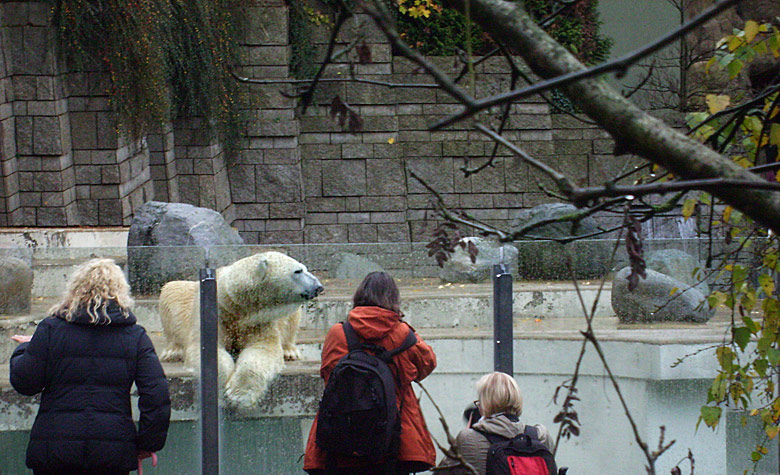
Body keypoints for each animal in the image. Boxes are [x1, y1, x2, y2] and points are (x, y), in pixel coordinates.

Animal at [158, 251, 322, 410]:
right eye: (298, 271)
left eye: (305, 268)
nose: (319, 286)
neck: (238, 307)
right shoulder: (217, 313)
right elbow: (206, 348)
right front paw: (219, 388)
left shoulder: (260, 321)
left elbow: (262, 349)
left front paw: (239, 395)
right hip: (181, 296)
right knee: (171, 292)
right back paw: (173, 352)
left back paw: (290, 352)